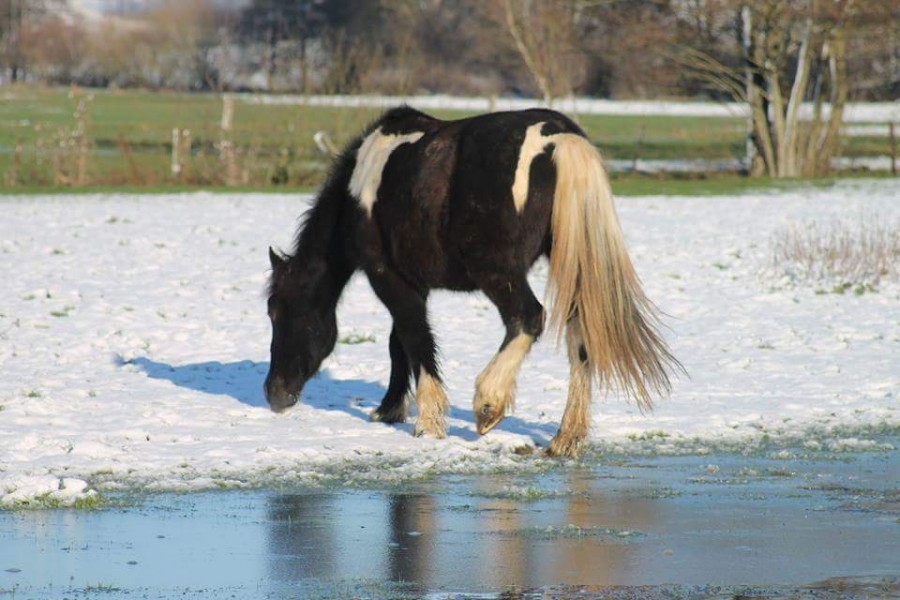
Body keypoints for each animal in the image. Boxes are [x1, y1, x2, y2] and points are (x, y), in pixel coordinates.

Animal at [264, 105, 680, 457]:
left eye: (278, 311)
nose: (274, 394)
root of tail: (558, 139)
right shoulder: (412, 283)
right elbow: (399, 342)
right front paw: (390, 409)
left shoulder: (390, 278)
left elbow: (414, 340)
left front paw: (427, 422)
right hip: (570, 264)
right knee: (579, 338)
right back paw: (565, 439)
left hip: (498, 274)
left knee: (528, 319)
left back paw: (488, 404)